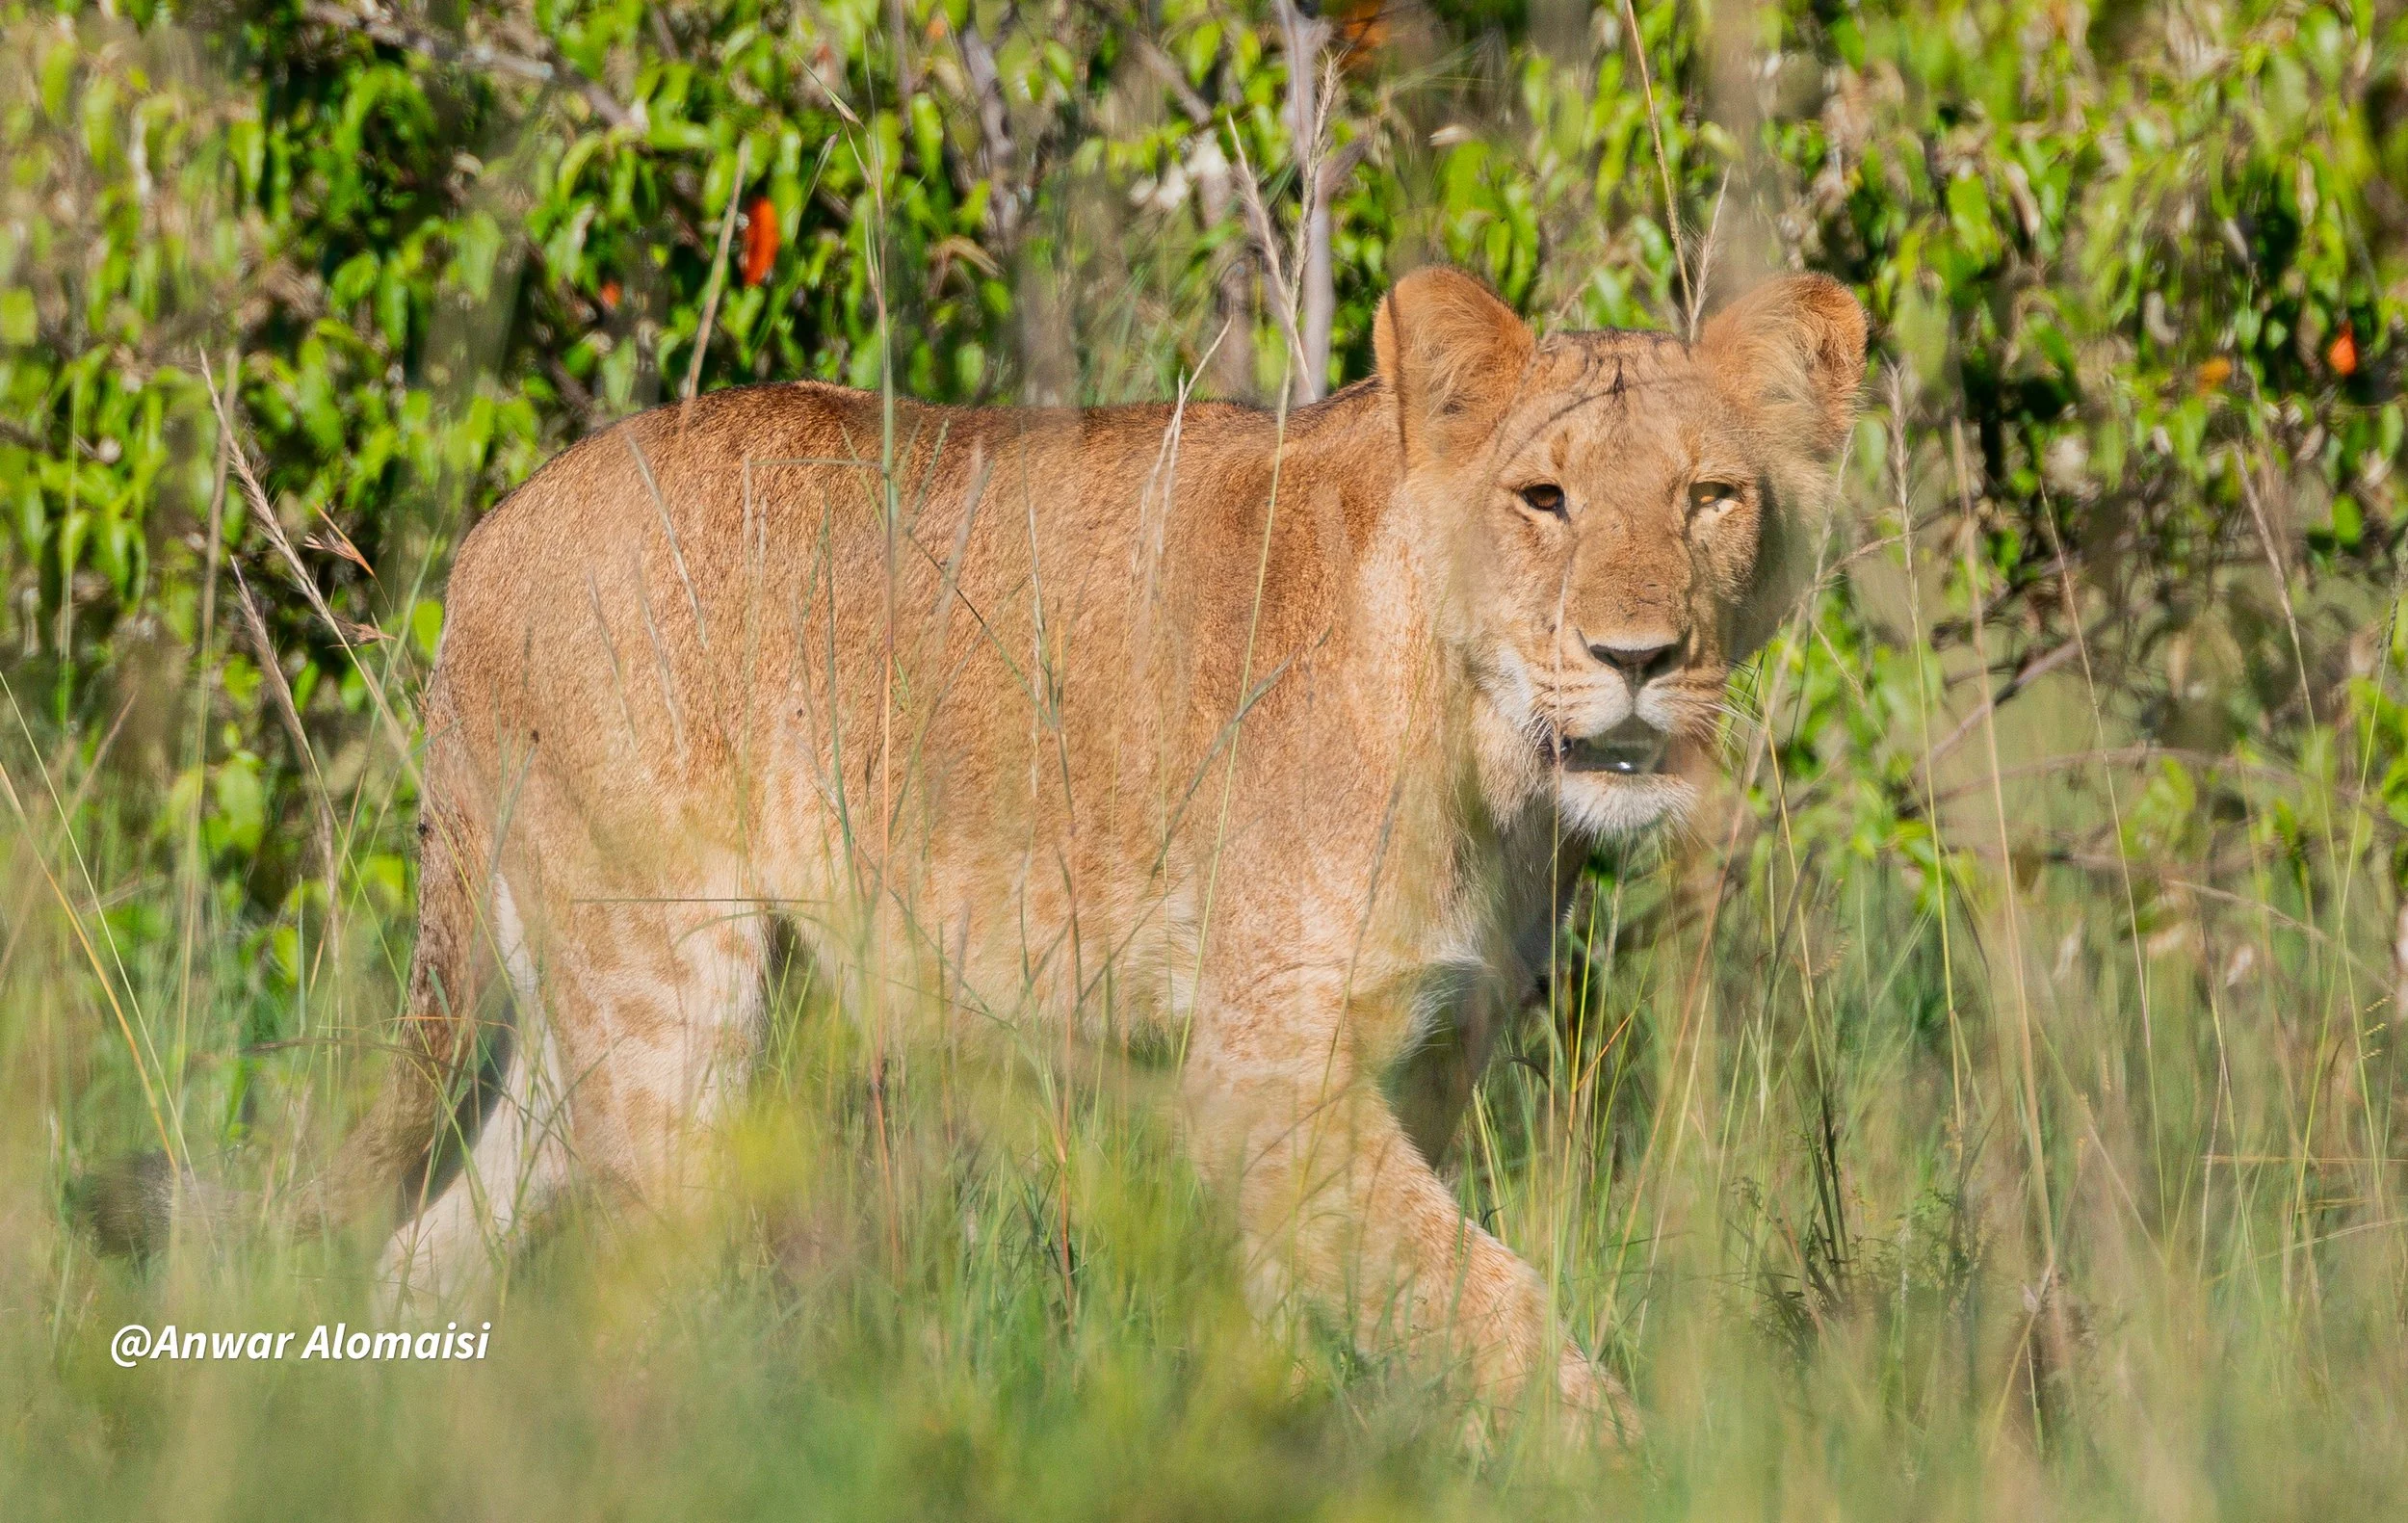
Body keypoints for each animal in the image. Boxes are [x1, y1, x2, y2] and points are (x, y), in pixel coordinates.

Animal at [92, 266, 1863, 1438]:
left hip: (572, 1018)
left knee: (430, 1255)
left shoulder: (1402, 1069)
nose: (1640, 658)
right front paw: (1613, 1456)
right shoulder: (1264, 1075)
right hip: (674, 994)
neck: (1488, 758)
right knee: (634, 1293)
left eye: (1712, 497)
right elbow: (1486, 1292)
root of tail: (484, 542)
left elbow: (1360, 1299)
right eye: (1544, 497)